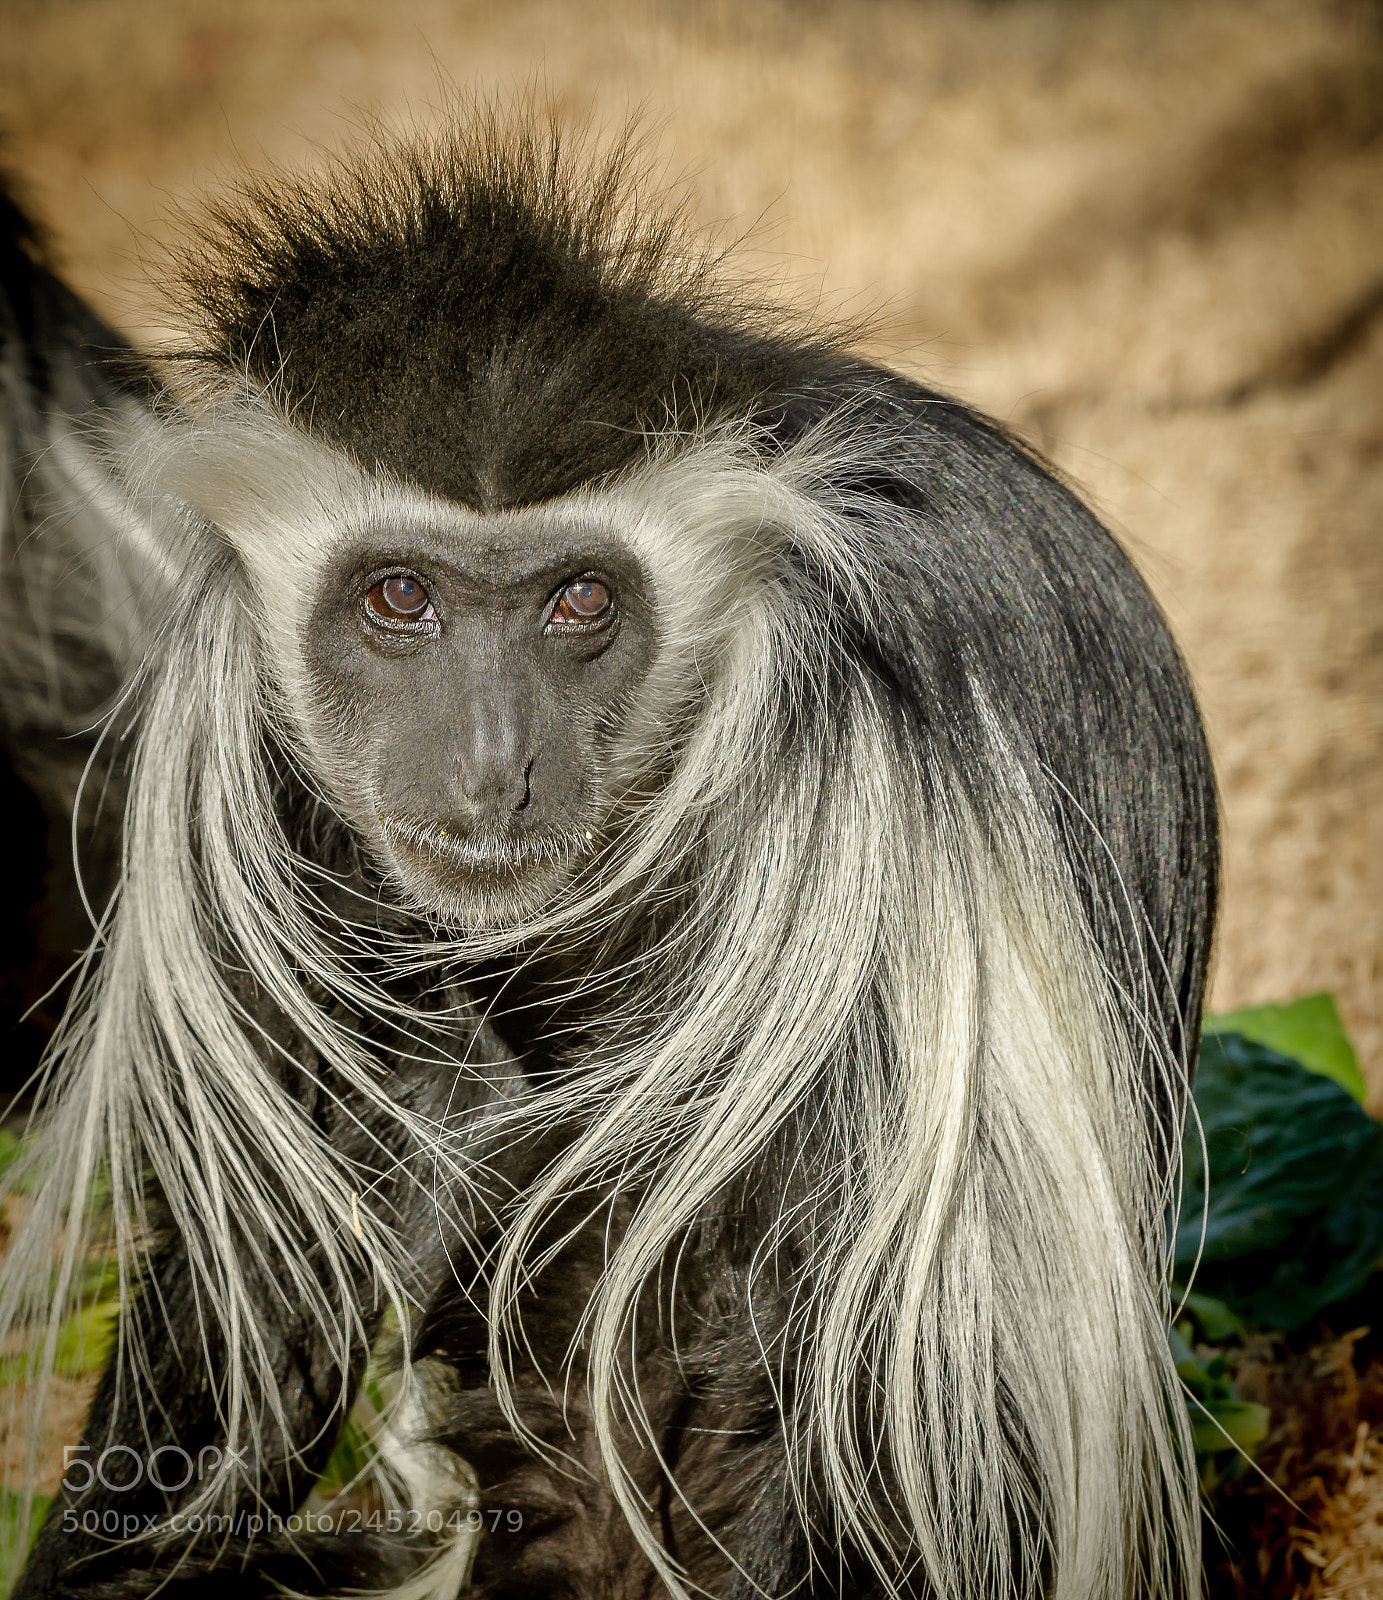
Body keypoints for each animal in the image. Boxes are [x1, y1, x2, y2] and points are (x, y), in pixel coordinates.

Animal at [1, 110, 1218, 1600]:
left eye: (579, 600)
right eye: (398, 596)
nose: (490, 766)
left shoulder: (863, 775)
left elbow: (846, 1344)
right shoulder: (232, 750)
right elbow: (269, 1245)